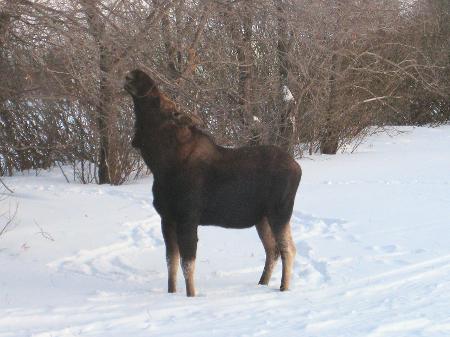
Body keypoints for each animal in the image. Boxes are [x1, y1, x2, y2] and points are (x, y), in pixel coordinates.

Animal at [125, 69, 300, 296]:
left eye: (159, 101)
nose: (136, 74)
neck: (161, 165)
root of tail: (298, 168)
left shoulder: (188, 218)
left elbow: (187, 264)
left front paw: (191, 296)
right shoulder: (167, 219)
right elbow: (171, 263)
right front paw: (171, 294)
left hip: (279, 213)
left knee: (288, 249)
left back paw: (284, 288)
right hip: (262, 218)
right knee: (273, 250)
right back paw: (262, 283)